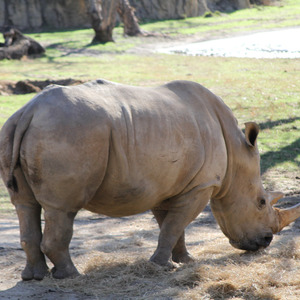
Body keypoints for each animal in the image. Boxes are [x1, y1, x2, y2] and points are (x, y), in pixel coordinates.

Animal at [0, 78, 300, 280]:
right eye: (261, 202)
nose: (265, 242)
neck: (236, 158)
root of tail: (30, 111)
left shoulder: (167, 185)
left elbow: (172, 226)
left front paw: (184, 261)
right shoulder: (202, 185)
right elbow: (174, 225)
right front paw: (162, 265)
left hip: (18, 128)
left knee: (25, 204)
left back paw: (33, 277)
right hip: (69, 132)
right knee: (62, 209)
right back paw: (72, 276)